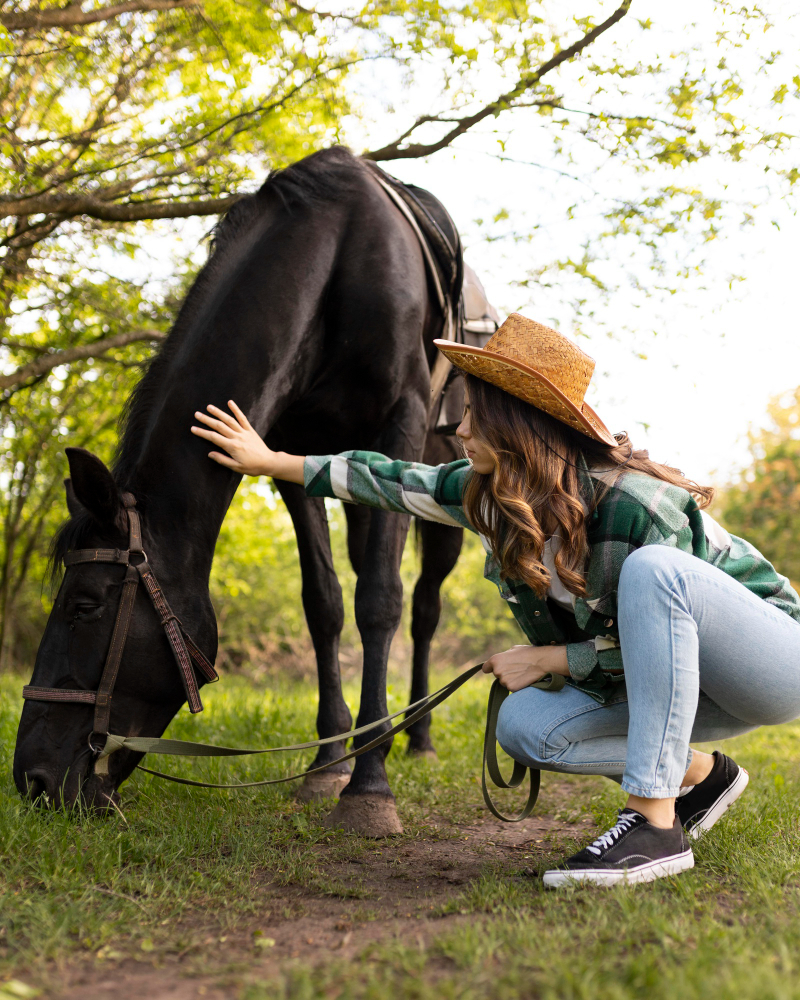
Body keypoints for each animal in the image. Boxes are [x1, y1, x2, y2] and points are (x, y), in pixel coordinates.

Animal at [12, 146, 466, 836]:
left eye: (84, 605)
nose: (32, 781)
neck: (337, 252)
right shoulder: (288, 454)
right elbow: (324, 605)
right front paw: (328, 765)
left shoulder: (402, 423)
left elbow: (380, 602)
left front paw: (369, 785)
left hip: (439, 504)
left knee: (422, 608)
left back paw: (417, 736)